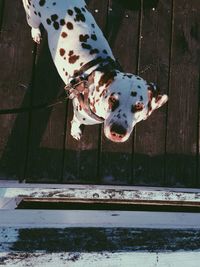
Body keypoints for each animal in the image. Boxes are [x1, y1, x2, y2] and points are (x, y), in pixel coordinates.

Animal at [22, 0, 168, 143]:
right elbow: (75, 122)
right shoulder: (80, 115)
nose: (118, 132)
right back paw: (36, 33)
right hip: (31, 16)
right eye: (112, 99)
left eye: (139, 106)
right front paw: (75, 131)